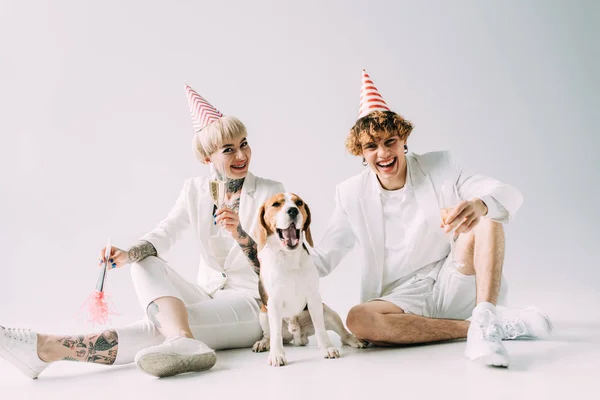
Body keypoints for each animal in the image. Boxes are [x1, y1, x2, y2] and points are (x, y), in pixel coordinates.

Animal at [250, 192, 364, 368]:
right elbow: (275, 333)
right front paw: (277, 355)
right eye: (276, 204)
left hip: (328, 312)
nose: (293, 210)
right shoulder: (274, 302)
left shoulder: (314, 298)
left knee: (342, 334)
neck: (288, 256)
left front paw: (327, 348)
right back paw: (263, 342)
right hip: (263, 313)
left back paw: (353, 340)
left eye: (299, 203)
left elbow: (320, 327)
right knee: (270, 335)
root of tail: (298, 335)